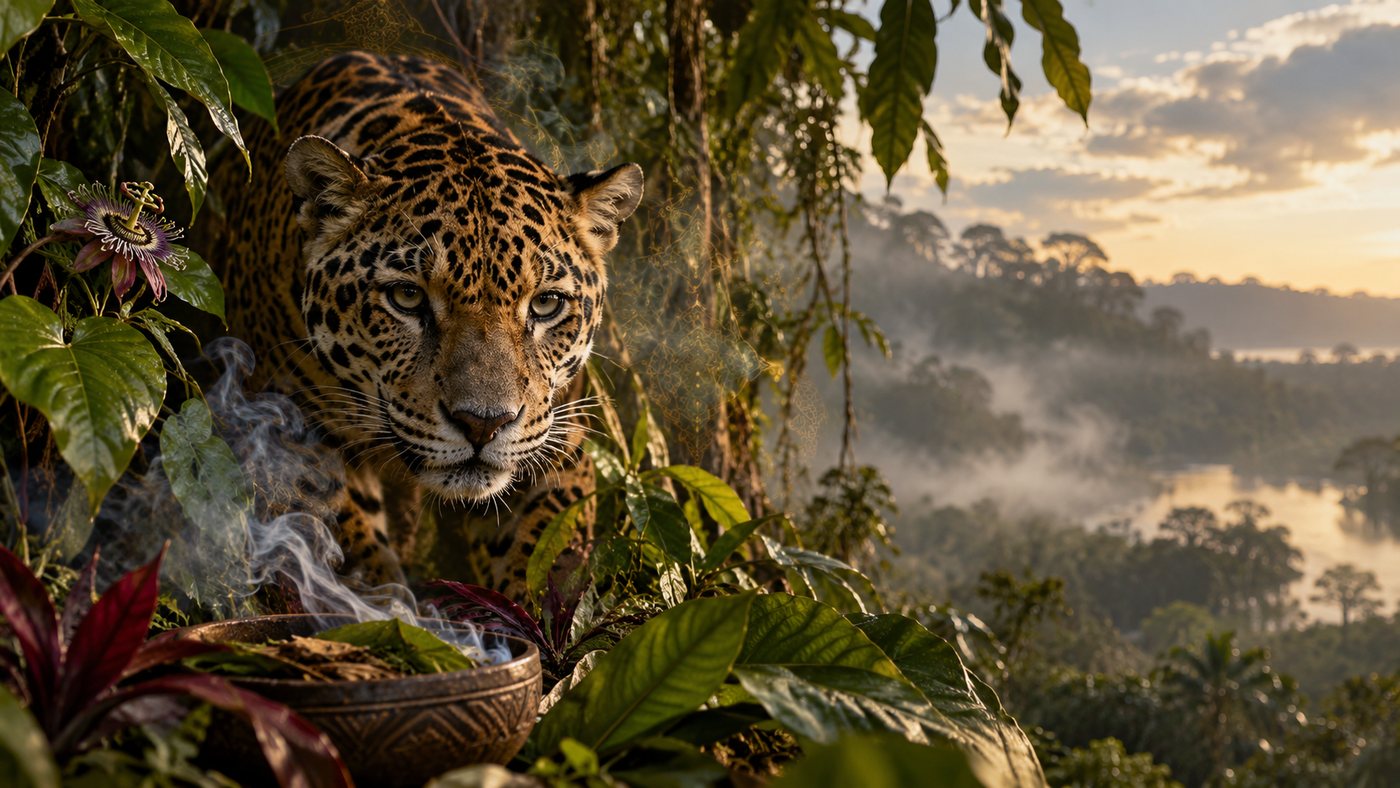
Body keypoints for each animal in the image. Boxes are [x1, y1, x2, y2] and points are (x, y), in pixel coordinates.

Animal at [204, 50, 642, 600]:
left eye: (545, 305)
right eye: (407, 297)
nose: (483, 424)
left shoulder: (558, 438)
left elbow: (548, 560)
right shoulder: (289, 429)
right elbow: (348, 548)